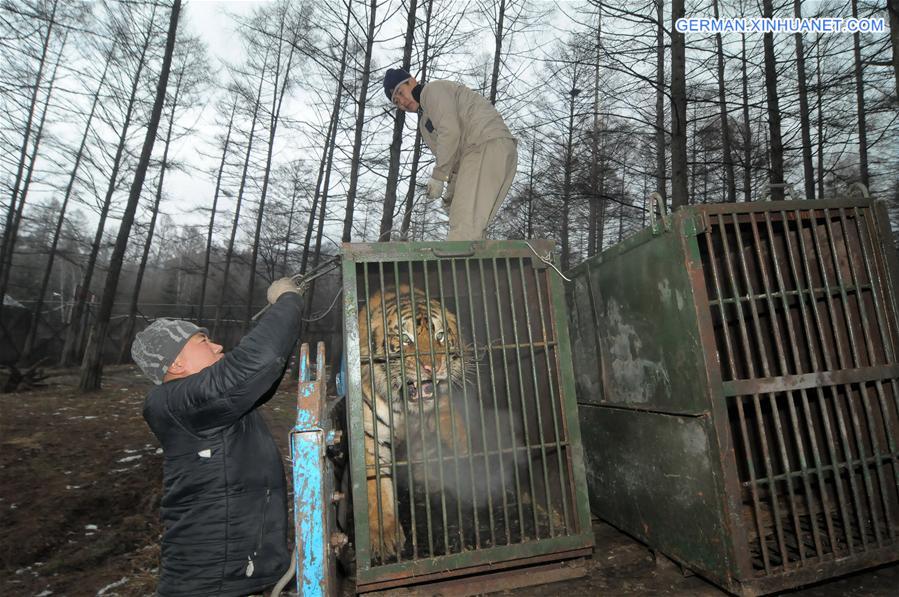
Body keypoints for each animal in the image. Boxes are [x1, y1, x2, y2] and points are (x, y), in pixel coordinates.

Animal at [358, 284, 472, 560]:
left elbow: (451, 423)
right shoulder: (372, 438)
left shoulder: (440, 406)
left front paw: (463, 449)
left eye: (440, 335)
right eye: (405, 339)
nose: (433, 366)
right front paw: (384, 537)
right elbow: (377, 489)